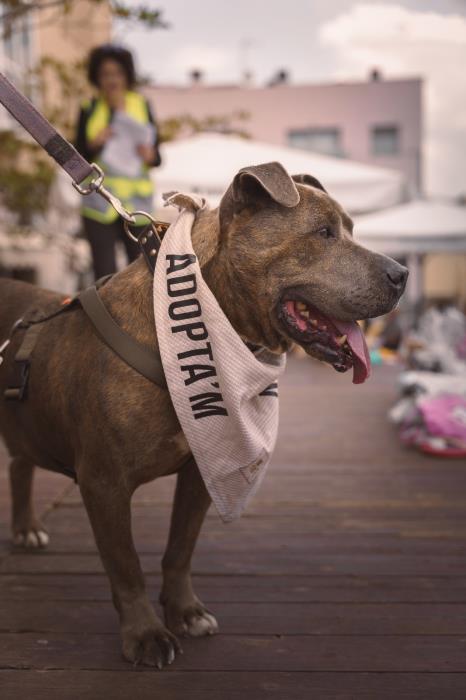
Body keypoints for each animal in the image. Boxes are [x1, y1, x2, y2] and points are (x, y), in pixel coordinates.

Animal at [0, 163, 408, 668]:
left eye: (350, 229)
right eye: (324, 233)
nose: (403, 274)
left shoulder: (201, 471)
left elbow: (180, 548)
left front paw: (186, 612)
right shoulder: (104, 483)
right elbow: (126, 564)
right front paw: (145, 634)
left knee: (20, 462)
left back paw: (26, 528)